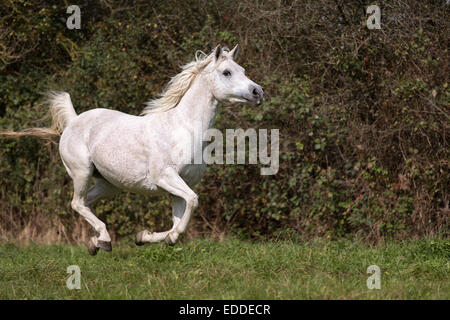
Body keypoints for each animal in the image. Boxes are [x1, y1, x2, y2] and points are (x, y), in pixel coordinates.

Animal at [0, 45, 264, 255]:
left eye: (242, 70)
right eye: (227, 72)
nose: (257, 92)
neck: (182, 128)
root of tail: (74, 121)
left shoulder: (179, 186)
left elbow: (180, 215)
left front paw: (145, 237)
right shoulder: (166, 177)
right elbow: (191, 203)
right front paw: (164, 238)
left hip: (109, 184)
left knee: (87, 203)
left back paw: (95, 243)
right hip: (82, 173)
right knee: (76, 204)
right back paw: (105, 240)